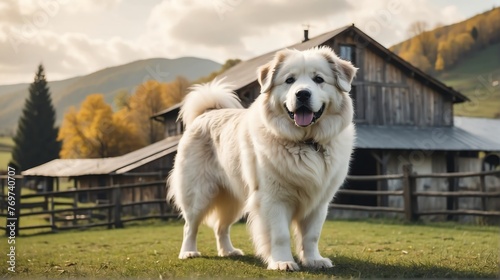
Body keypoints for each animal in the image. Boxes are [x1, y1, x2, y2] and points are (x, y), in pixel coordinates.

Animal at [167, 46, 356, 272]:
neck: (306, 143)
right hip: (199, 194)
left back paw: (228, 251)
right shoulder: (273, 199)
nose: (302, 94)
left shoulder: (318, 202)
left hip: (234, 201)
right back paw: (188, 252)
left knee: (221, 227)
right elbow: (280, 235)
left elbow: (311, 236)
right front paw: (282, 262)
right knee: (190, 226)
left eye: (318, 79)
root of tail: (207, 113)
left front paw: (314, 260)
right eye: (289, 80)